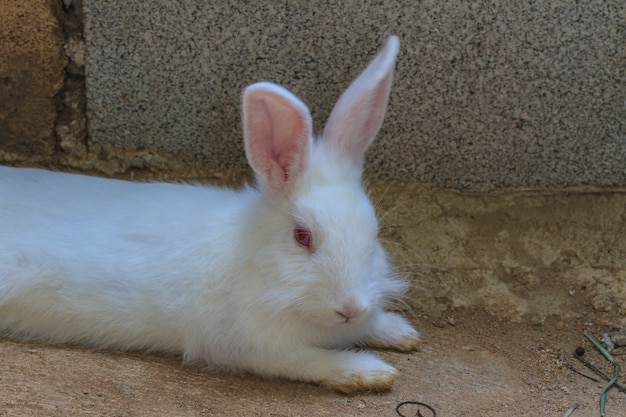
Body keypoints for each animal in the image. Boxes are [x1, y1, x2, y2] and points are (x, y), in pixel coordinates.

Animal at [2, 35, 420, 390]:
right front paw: (369, 373)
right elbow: (310, 362)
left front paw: (402, 333)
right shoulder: (256, 348)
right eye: (302, 236)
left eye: (374, 234)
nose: (350, 307)